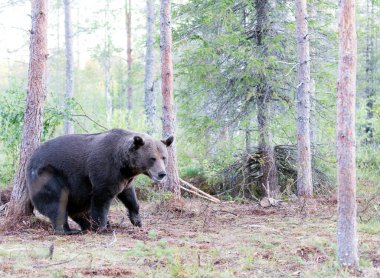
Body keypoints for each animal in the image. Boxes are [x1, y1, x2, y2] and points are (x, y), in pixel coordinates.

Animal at [26, 129, 174, 235]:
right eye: (152, 158)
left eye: (164, 157)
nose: (162, 174)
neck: (124, 164)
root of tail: (31, 159)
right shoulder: (105, 170)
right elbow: (101, 199)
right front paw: (102, 227)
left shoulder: (125, 178)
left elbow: (129, 196)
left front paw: (137, 220)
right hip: (49, 175)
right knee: (57, 201)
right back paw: (68, 230)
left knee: (78, 210)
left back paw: (84, 225)